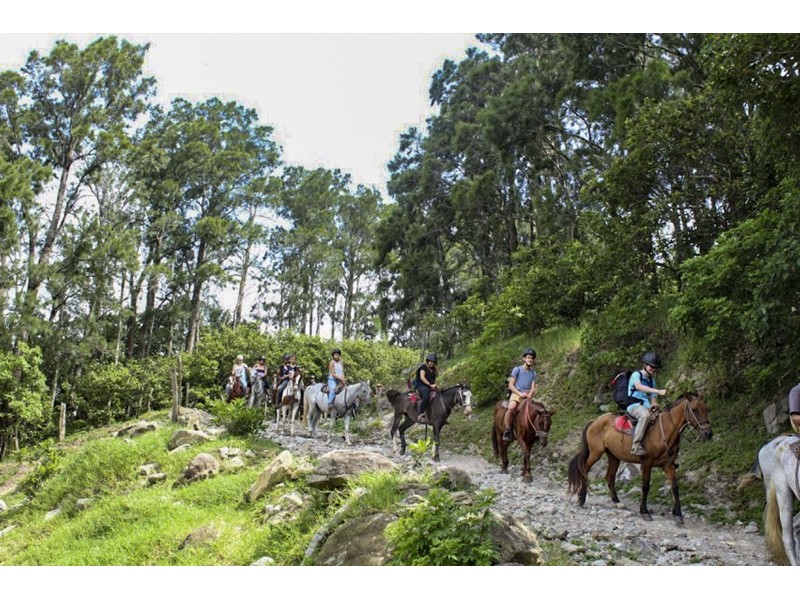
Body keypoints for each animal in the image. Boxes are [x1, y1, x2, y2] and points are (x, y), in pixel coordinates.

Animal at [564, 392, 712, 524]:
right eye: (694, 409)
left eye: (706, 409)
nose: (708, 433)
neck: (663, 432)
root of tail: (594, 421)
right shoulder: (646, 463)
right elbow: (645, 486)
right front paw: (644, 512)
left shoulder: (668, 464)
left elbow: (675, 487)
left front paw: (678, 514)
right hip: (596, 453)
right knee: (584, 469)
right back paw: (581, 498)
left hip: (613, 456)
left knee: (610, 477)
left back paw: (617, 502)